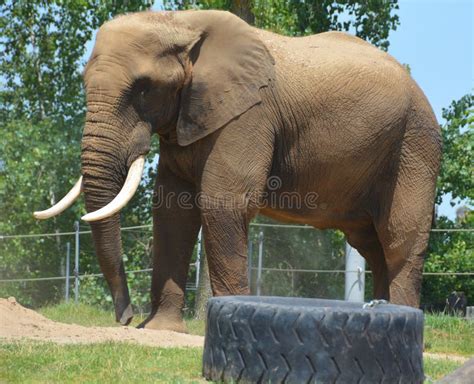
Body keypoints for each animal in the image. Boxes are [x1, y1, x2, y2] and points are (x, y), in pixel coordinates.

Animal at [35, 10, 442, 332]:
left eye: (144, 88)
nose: (126, 317)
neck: (180, 22)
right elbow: (172, 211)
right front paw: (161, 329)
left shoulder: (248, 115)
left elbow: (222, 203)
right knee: (370, 243)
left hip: (415, 143)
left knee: (398, 235)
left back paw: (403, 316)